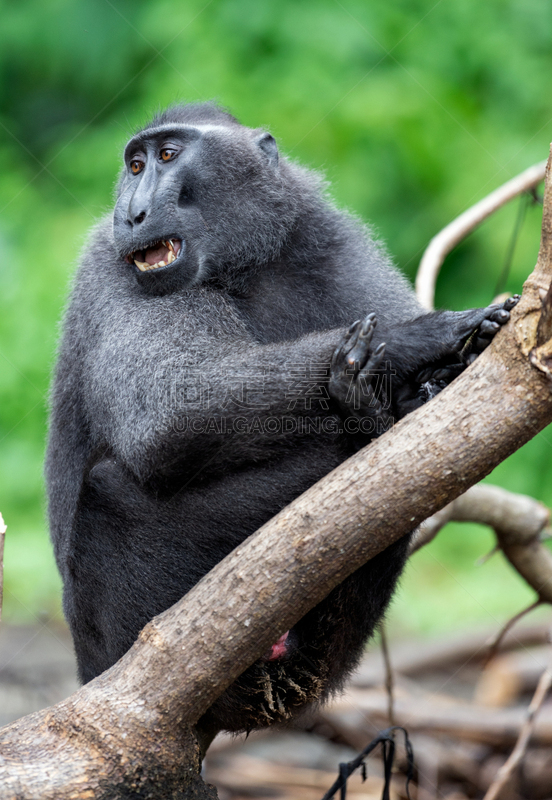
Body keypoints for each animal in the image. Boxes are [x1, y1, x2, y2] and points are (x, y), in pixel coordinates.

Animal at [46, 103, 516, 736]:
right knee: (107, 493)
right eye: (135, 165)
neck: (248, 264)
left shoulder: (334, 243)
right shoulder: (111, 267)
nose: (132, 212)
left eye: (167, 156)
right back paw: (370, 420)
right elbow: (169, 414)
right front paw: (416, 340)